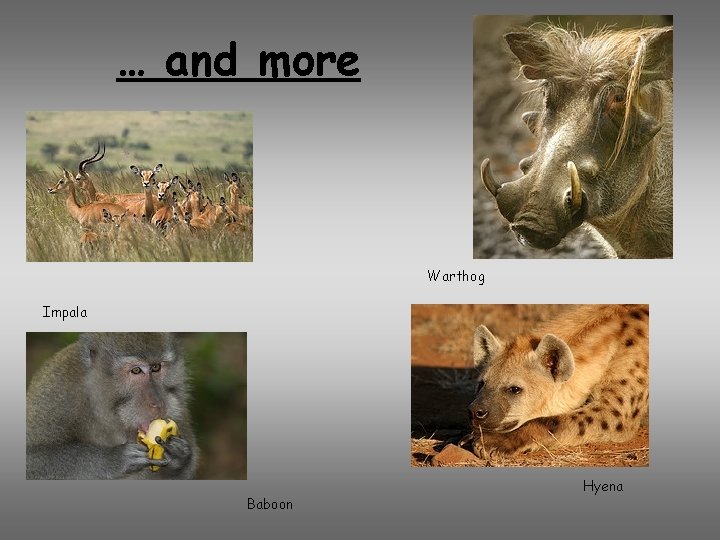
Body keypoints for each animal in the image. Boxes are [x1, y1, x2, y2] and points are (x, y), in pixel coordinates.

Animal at [26, 333, 198, 479]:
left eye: (156, 367)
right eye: (136, 370)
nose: (158, 402)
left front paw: (179, 457)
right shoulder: (58, 391)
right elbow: (31, 460)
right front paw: (111, 459)